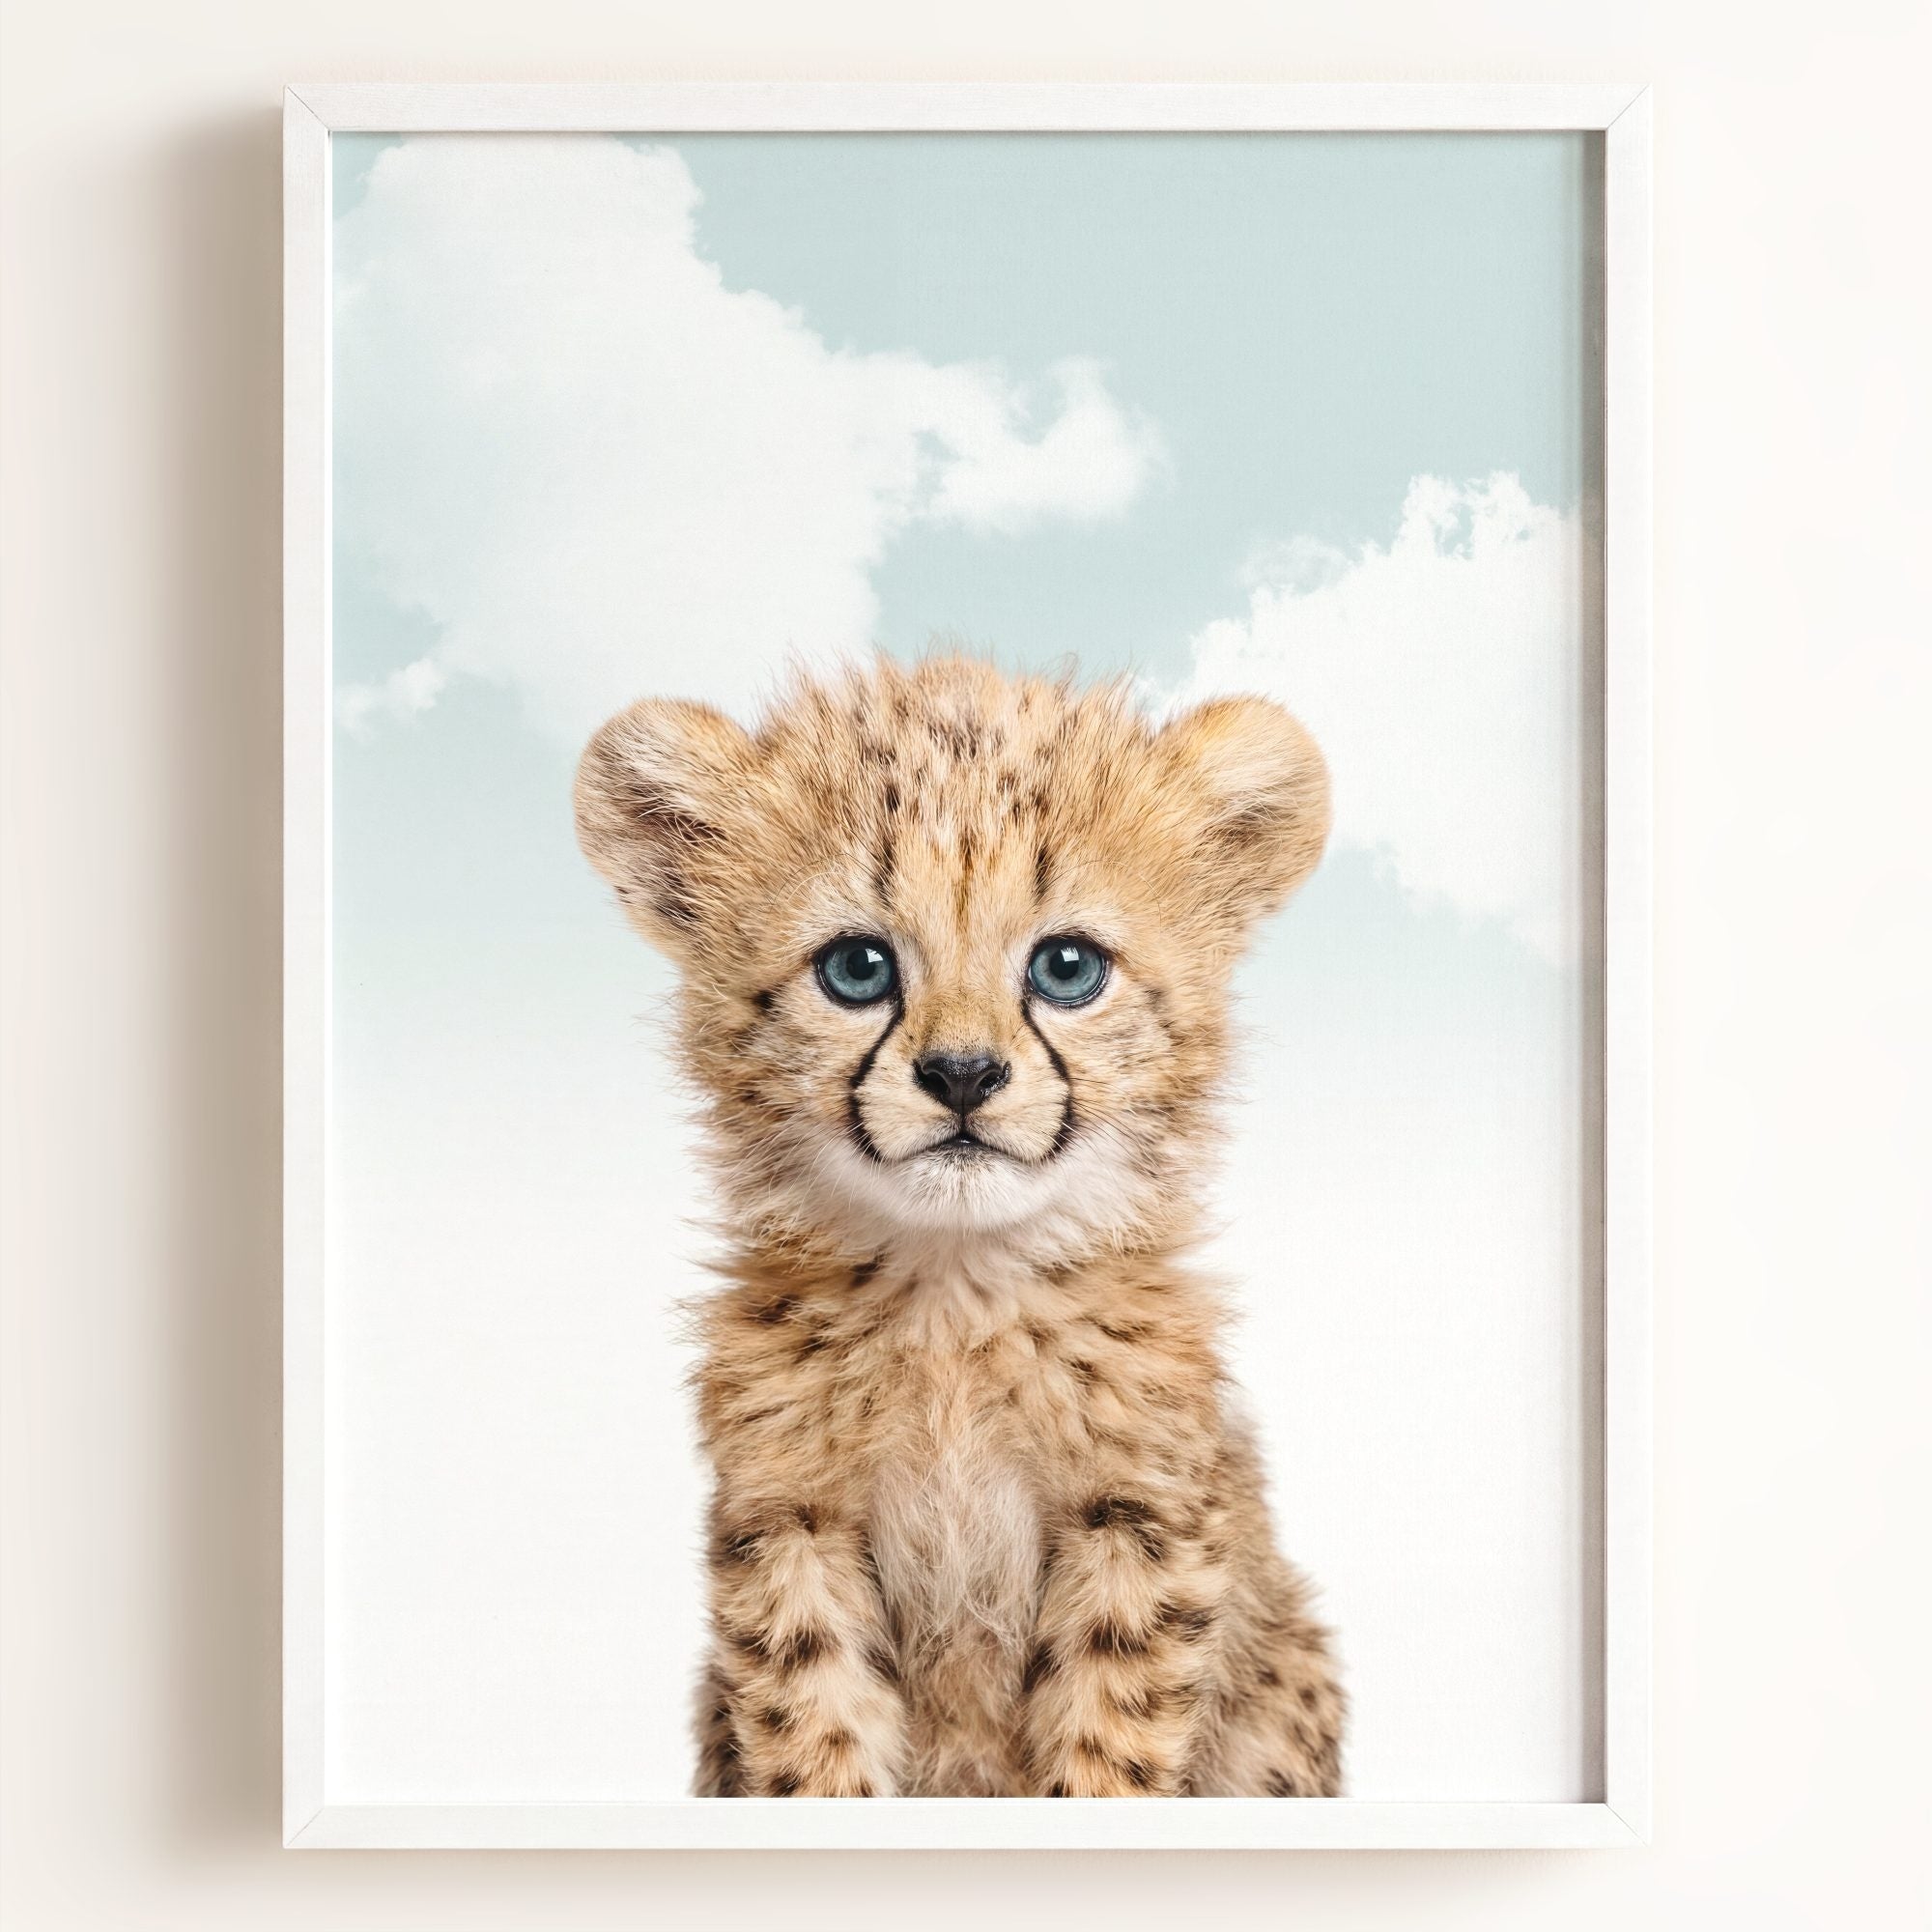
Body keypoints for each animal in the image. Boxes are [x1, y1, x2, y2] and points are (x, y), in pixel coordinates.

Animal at [575, 653, 1344, 1798]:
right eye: (857, 967)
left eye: (1067, 967)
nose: (963, 1075)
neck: (956, 1292)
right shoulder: (791, 1522)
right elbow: (814, 1736)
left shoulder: (1137, 1518)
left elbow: (1108, 1743)